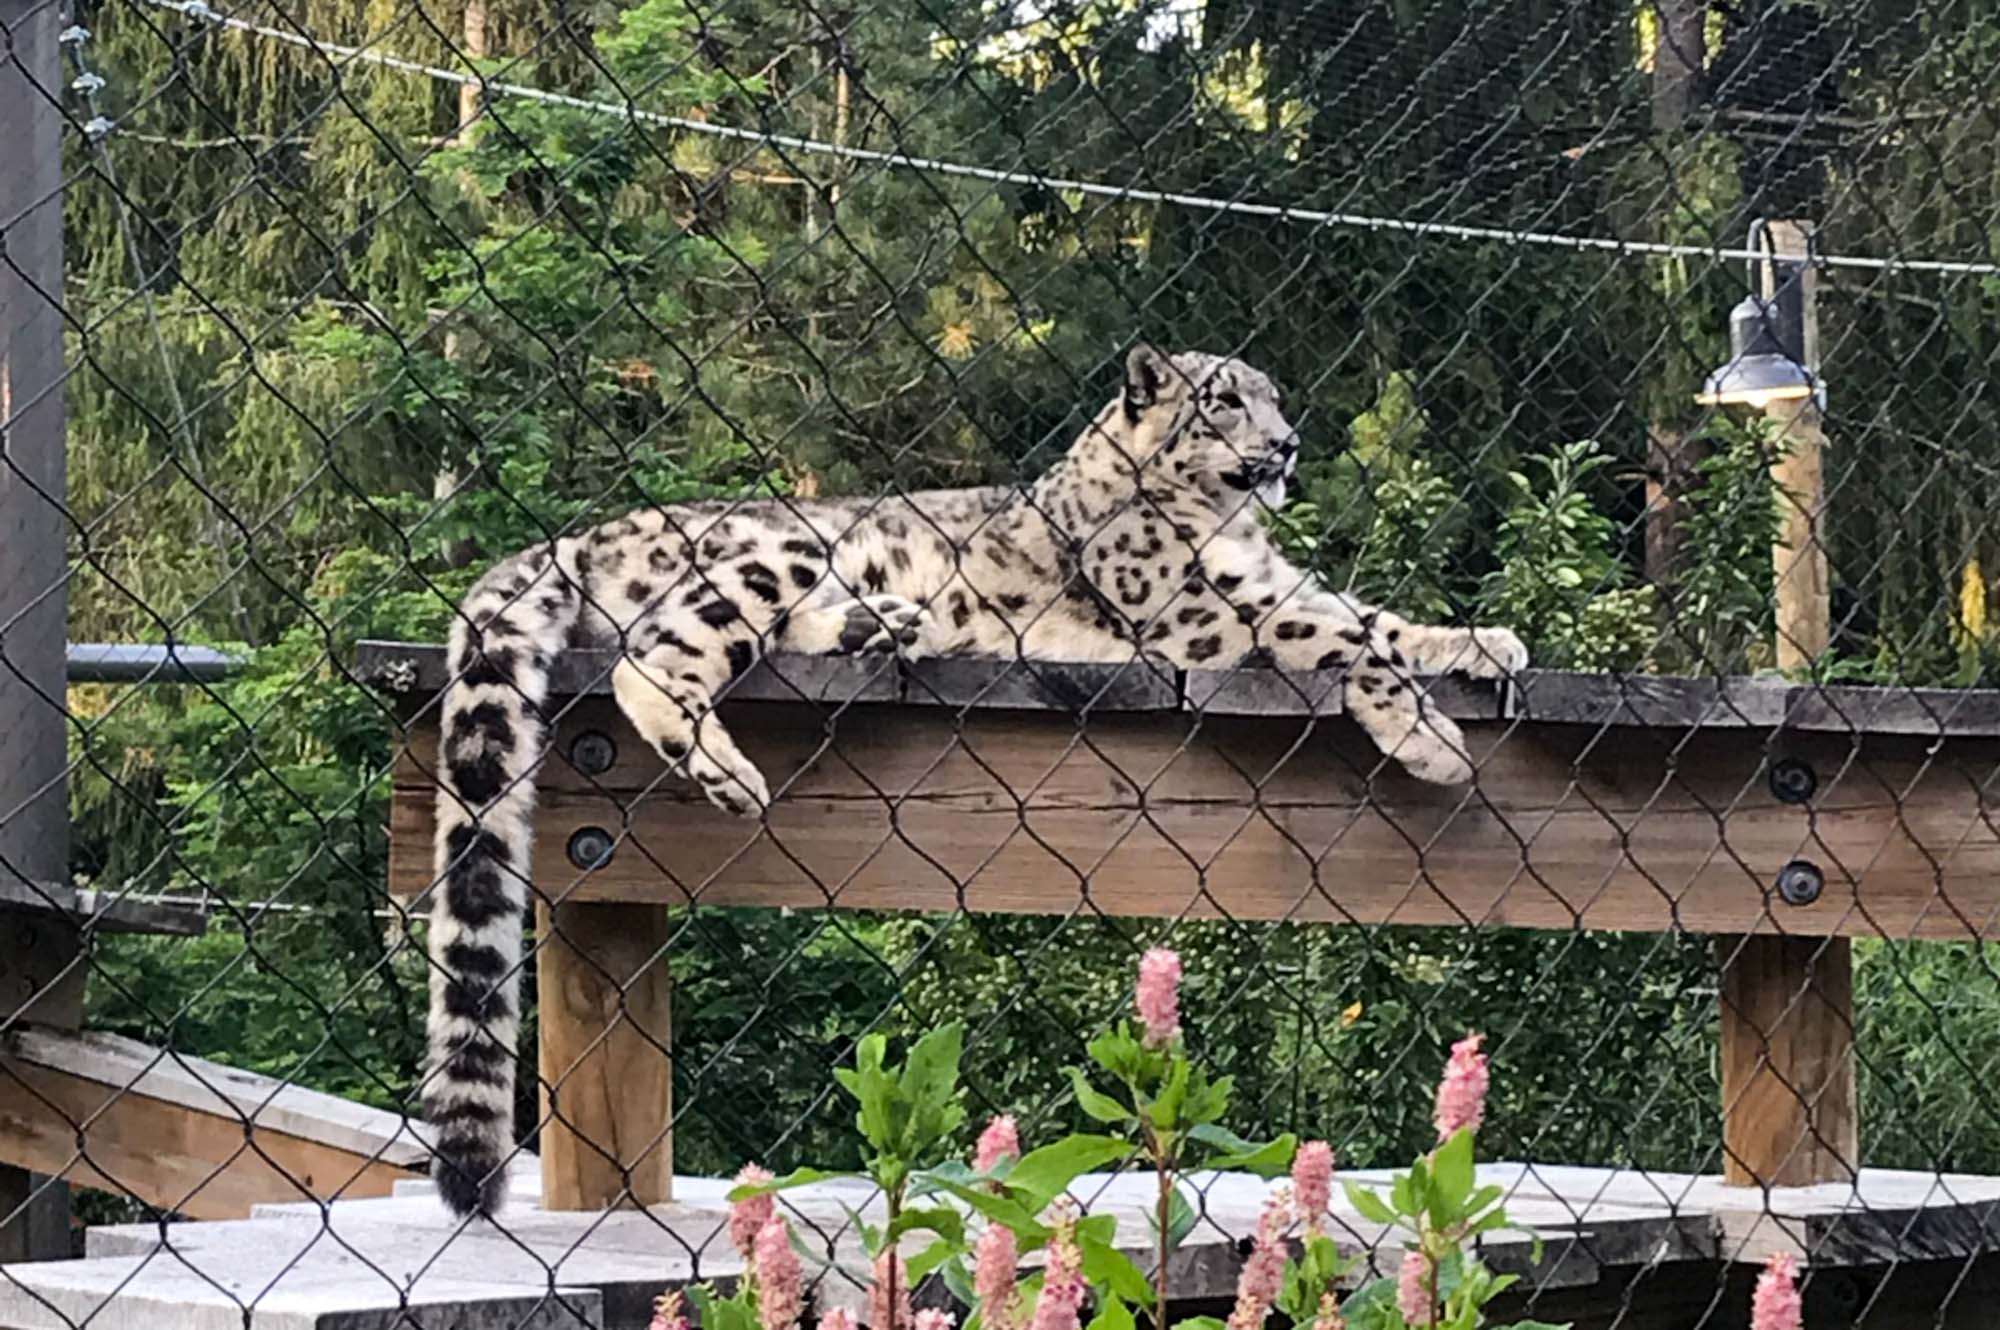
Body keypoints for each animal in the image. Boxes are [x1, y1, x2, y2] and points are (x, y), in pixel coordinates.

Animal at [422, 345, 1528, 1216]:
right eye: (1222, 402)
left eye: (1271, 396)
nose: (1288, 444)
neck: (1231, 532)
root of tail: (582, 532)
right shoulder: (1207, 619)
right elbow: (1347, 639)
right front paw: (1431, 737)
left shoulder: (1275, 589)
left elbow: (1377, 617)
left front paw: (1486, 642)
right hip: (772, 556)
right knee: (652, 657)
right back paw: (732, 767)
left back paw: (881, 625)